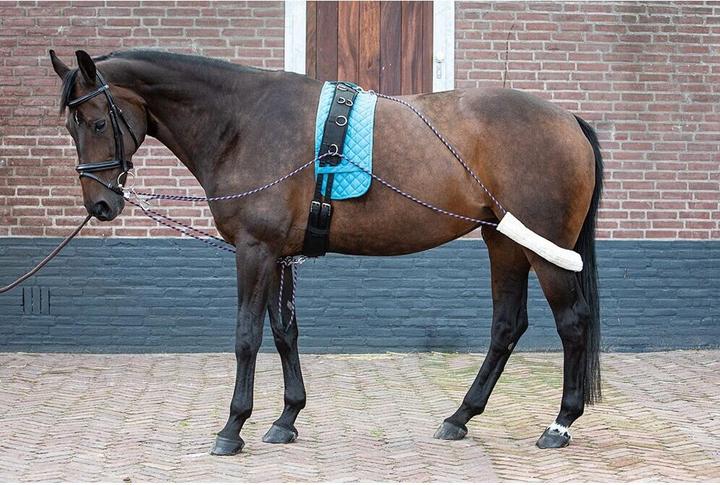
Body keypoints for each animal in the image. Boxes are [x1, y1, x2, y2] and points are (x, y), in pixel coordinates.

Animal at [48, 49, 603, 454]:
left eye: (97, 123)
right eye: (71, 127)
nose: (100, 204)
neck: (244, 121)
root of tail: (568, 119)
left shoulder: (254, 250)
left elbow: (247, 337)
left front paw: (233, 428)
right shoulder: (278, 255)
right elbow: (284, 333)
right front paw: (287, 418)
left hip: (544, 250)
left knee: (572, 322)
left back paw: (559, 425)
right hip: (504, 242)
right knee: (507, 326)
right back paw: (459, 416)